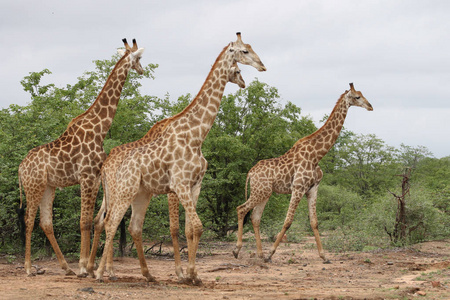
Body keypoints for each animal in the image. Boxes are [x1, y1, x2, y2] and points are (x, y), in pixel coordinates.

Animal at [18, 38, 145, 278]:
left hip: (48, 187)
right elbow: (85, 221)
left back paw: (65, 267)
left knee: (45, 223)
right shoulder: (87, 176)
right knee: (29, 220)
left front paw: (85, 266)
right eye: (140, 58)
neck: (100, 128)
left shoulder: (94, 178)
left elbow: (90, 220)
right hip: (34, 186)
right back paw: (29, 268)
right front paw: (84, 266)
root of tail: (20, 168)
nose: (142, 70)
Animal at [94, 33, 264, 286]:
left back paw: (145, 274)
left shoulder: (195, 185)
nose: (262, 66)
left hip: (140, 193)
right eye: (244, 52)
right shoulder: (179, 185)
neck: (196, 136)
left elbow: (190, 229)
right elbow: (194, 227)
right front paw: (188, 274)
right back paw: (98, 273)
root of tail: (108, 164)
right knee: (111, 222)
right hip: (123, 191)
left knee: (131, 226)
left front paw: (192, 274)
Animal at [232, 82, 372, 262]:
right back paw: (238, 250)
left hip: (265, 193)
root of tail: (250, 173)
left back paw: (260, 253)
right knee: (241, 209)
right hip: (259, 191)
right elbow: (288, 221)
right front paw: (271, 253)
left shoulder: (312, 189)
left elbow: (314, 222)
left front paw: (324, 256)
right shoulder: (298, 188)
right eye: (357, 97)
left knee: (255, 217)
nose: (370, 106)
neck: (316, 155)